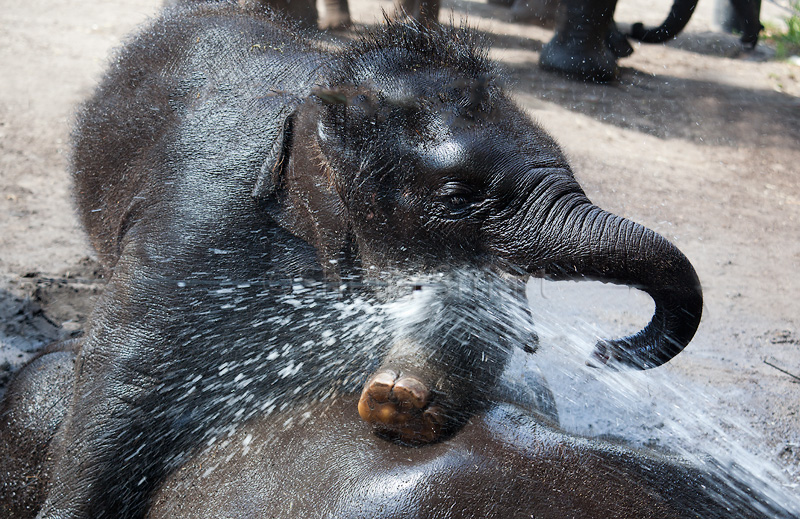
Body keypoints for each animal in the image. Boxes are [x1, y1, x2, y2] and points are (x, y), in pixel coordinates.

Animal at [26, 3, 700, 516]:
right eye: (456, 198)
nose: (606, 349)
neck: (325, 97)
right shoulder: (196, 216)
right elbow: (128, 368)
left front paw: (395, 397)